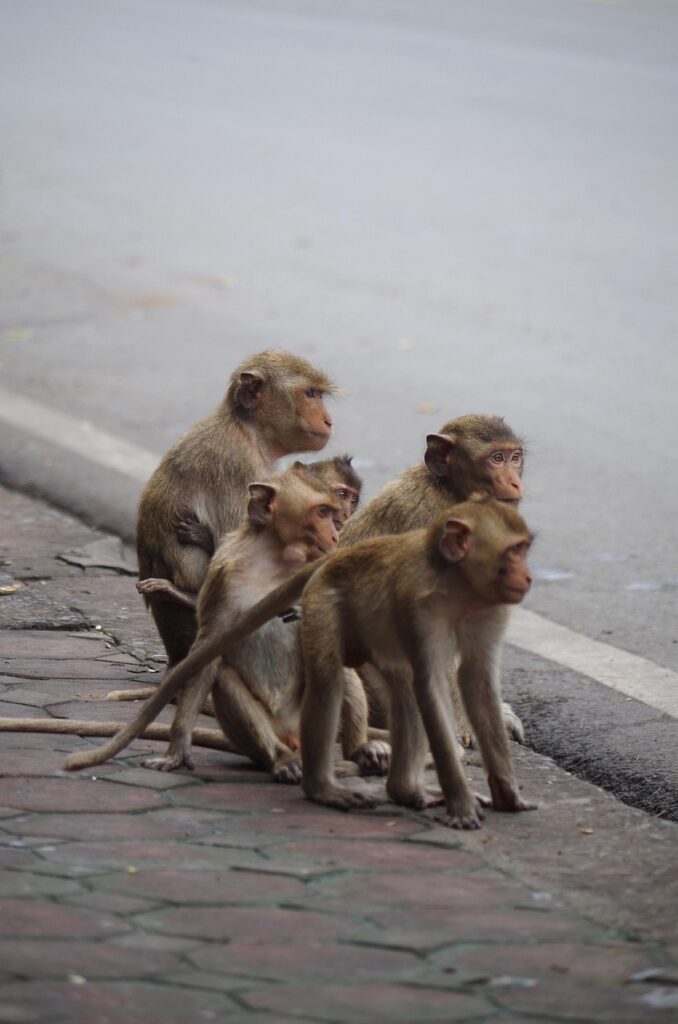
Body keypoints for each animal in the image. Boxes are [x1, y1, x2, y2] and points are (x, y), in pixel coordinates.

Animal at [63, 465, 388, 780]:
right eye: (322, 512)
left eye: (334, 511)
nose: (335, 533)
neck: (275, 564)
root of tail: (293, 737)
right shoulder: (224, 577)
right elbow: (207, 655)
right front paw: (177, 750)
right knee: (225, 678)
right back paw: (283, 760)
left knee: (333, 664)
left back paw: (358, 751)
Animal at [297, 496, 537, 829]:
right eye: (514, 551)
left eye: (524, 549)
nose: (527, 577)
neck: (459, 587)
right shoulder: (420, 607)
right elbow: (431, 684)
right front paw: (461, 803)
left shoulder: (492, 606)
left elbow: (477, 681)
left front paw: (506, 792)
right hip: (322, 605)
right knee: (327, 680)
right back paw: (323, 787)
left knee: (403, 689)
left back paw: (405, 789)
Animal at [338, 414, 526, 743]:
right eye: (496, 459)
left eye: (515, 458)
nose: (515, 481)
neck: (450, 490)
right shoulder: (429, 522)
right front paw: (462, 727)